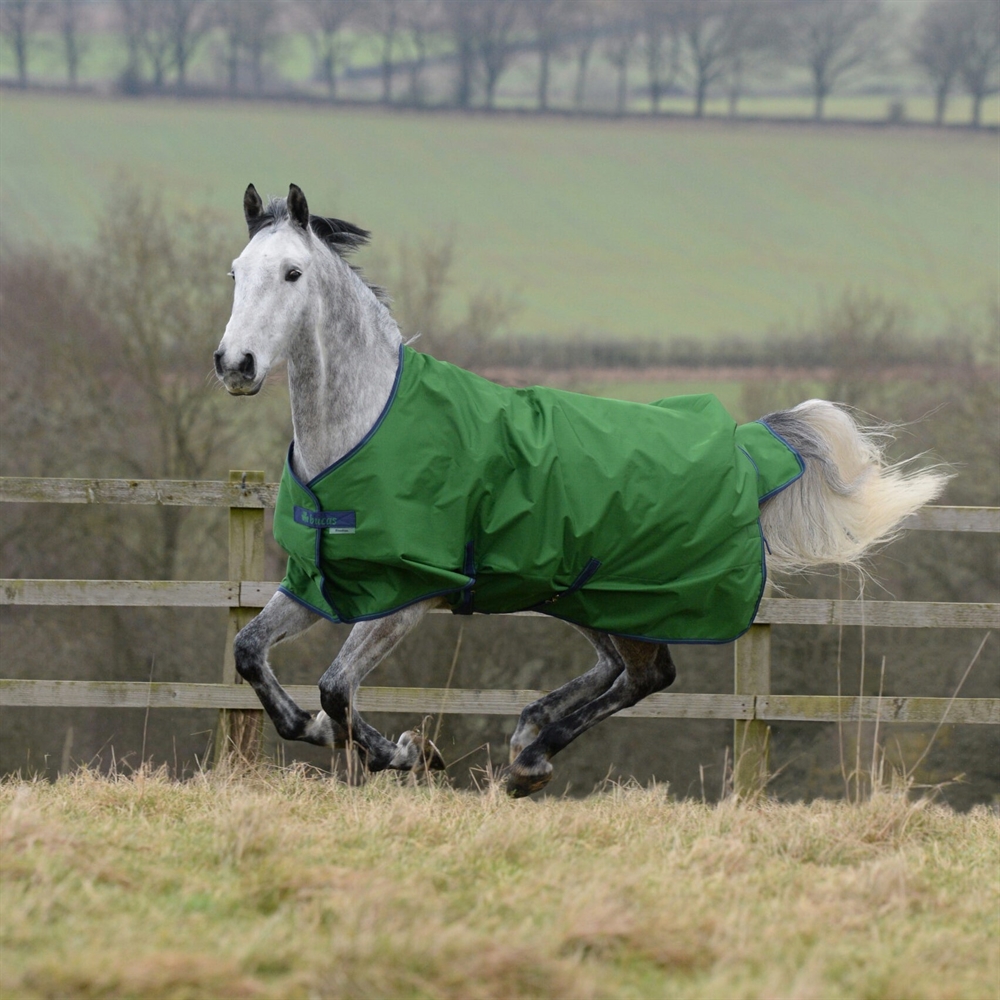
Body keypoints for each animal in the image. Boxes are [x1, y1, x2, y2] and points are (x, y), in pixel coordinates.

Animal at [214, 183, 948, 797]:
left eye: (292, 273)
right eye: (236, 272)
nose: (235, 366)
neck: (363, 427)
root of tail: (744, 448)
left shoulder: (408, 595)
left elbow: (337, 688)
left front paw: (404, 751)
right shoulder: (319, 582)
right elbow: (250, 653)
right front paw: (333, 735)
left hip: (634, 593)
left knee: (649, 676)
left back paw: (531, 760)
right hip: (584, 592)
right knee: (615, 671)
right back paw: (528, 727)